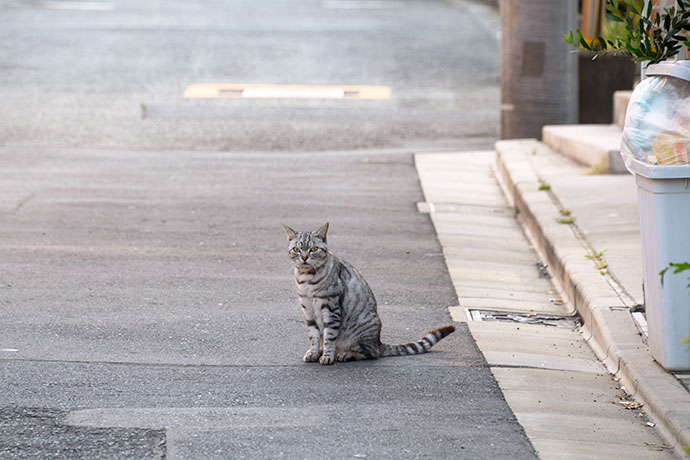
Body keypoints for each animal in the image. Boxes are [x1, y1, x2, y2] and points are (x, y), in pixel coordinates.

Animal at [282, 223, 454, 366]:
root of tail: (379, 341)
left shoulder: (331, 307)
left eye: (313, 249)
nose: (304, 257)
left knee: (371, 353)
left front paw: (327, 356)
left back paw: (345, 354)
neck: (306, 278)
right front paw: (314, 352)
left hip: (363, 330)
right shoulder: (308, 309)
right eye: (297, 250)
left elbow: (329, 336)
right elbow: (313, 335)